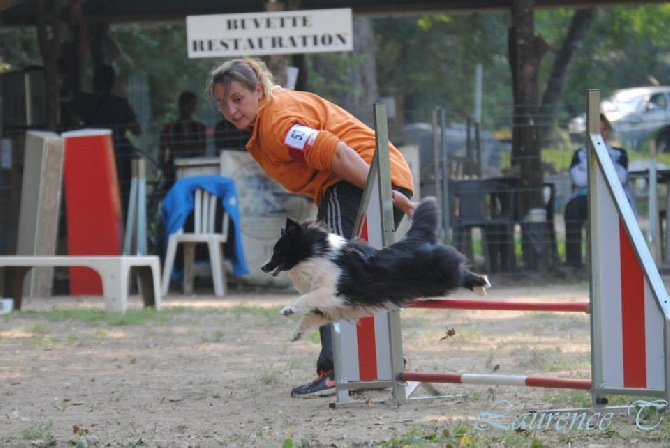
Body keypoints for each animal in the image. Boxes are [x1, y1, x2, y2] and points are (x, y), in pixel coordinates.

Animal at [264, 195, 494, 340]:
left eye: (278, 250)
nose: (263, 267)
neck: (317, 254)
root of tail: (417, 238)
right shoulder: (333, 307)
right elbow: (309, 316)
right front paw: (296, 334)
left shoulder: (334, 290)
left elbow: (307, 298)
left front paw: (288, 309)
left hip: (442, 279)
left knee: (462, 273)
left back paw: (482, 285)